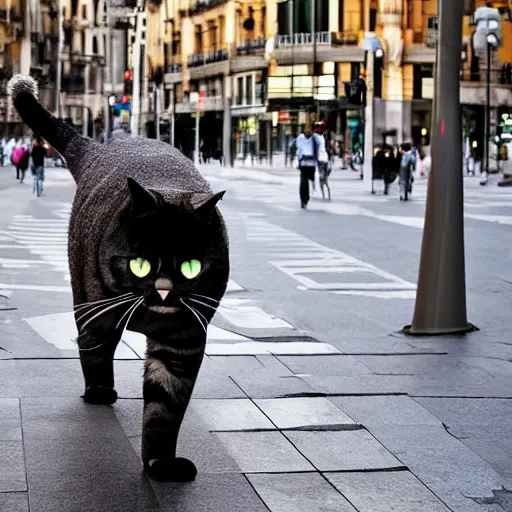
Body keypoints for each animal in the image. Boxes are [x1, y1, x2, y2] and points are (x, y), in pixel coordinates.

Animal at [7, 74, 228, 482]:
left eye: (190, 267)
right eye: (140, 264)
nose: (164, 290)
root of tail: (99, 150)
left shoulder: (182, 341)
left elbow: (164, 408)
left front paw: (160, 463)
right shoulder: (101, 311)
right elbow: (96, 350)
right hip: (87, 297)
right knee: (92, 344)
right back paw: (98, 390)